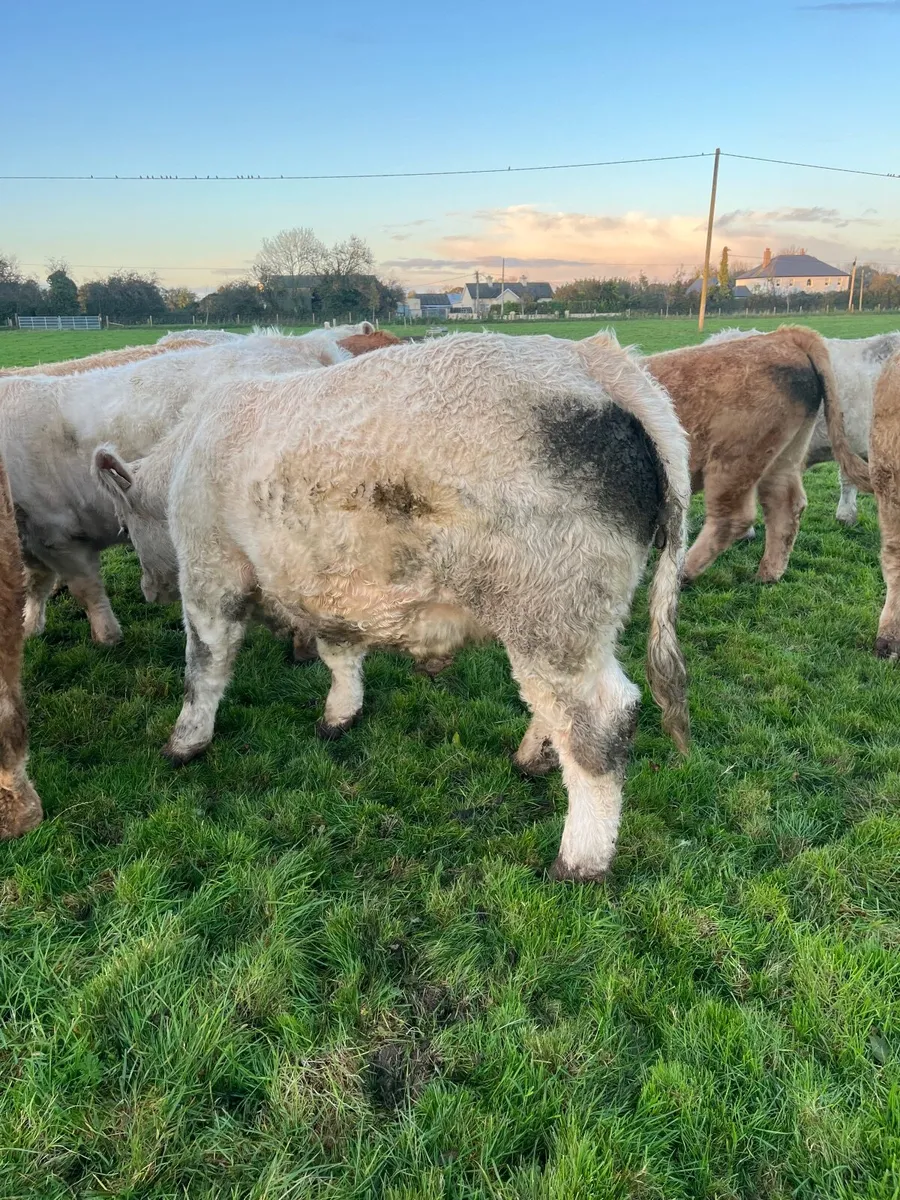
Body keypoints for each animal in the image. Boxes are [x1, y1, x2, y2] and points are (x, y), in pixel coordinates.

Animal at [0, 325, 370, 643]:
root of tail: (302, 346)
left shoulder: (58, 533)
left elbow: (85, 588)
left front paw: (107, 636)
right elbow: (36, 583)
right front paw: (30, 627)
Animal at [93, 330, 691, 883]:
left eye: (123, 526)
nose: (148, 589)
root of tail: (597, 359)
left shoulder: (209, 570)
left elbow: (205, 666)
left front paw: (185, 742)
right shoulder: (331, 586)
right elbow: (340, 654)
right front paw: (340, 714)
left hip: (552, 609)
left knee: (600, 722)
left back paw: (580, 860)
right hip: (567, 620)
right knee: (556, 707)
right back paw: (533, 758)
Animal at [648, 326, 870, 581]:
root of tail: (785, 335)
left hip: (733, 459)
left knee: (733, 517)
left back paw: (683, 572)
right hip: (784, 456)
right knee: (785, 505)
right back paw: (768, 574)